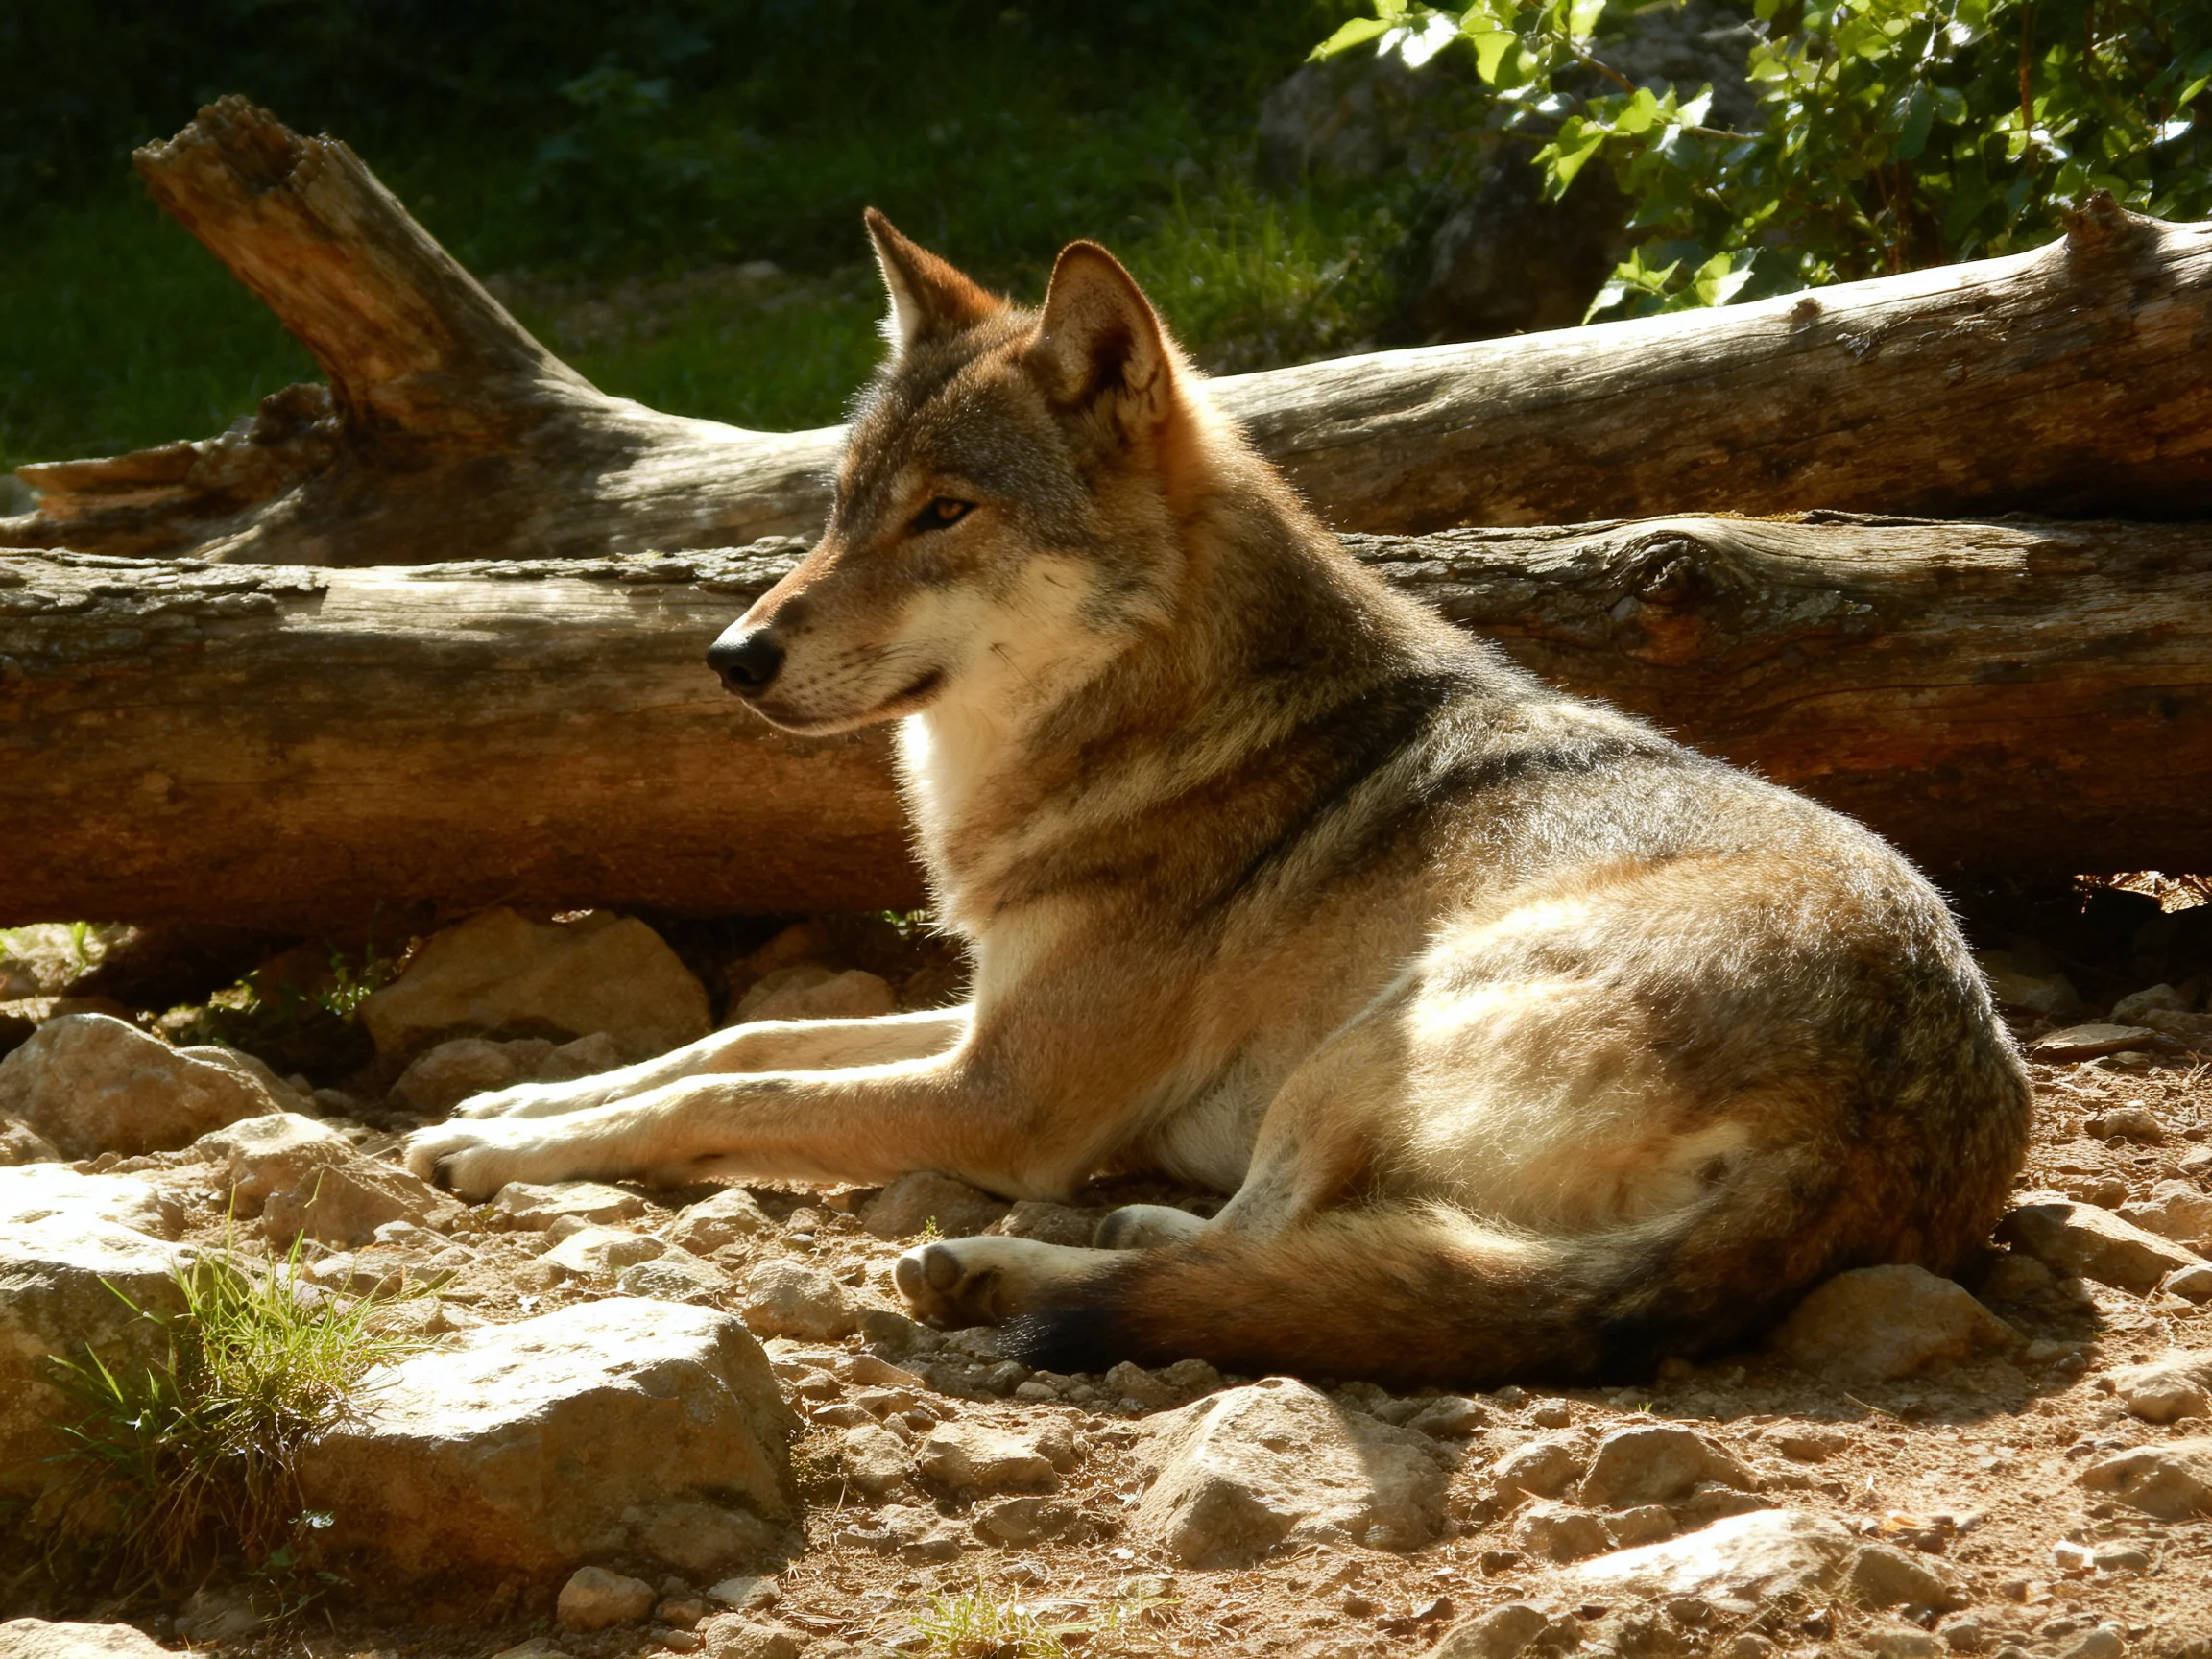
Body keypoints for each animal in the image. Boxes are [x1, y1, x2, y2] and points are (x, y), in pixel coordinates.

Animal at [405, 210, 2032, 1385]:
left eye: (947, 514)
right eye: (843, 506)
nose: (732, 659)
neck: (1151, 729)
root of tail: (1876, 1112)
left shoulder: (1006, 1096)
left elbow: (740, 1090)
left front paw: (502, 1152)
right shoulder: (987, 1017)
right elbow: (734, 1041)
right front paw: (520, 1100)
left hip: (1367, 1031)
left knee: (1251, 1246)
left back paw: (1003, 1269)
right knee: (1272, 1246)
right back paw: (1125, 1225)